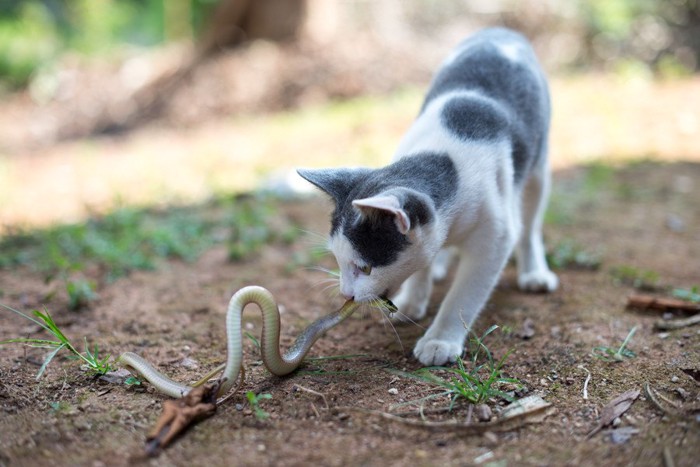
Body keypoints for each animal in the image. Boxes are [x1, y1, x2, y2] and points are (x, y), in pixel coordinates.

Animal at [296, 27, 556, 368]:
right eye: (338, 260)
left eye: (365, 268)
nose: (345, 294)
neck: (444, 158)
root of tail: (500, 30)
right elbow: (423, 261)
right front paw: (412, 300)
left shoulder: (495, 237)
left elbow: (465, 293)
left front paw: (439, 340)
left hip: (538, 169)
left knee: (530, 226)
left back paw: (534, 272)